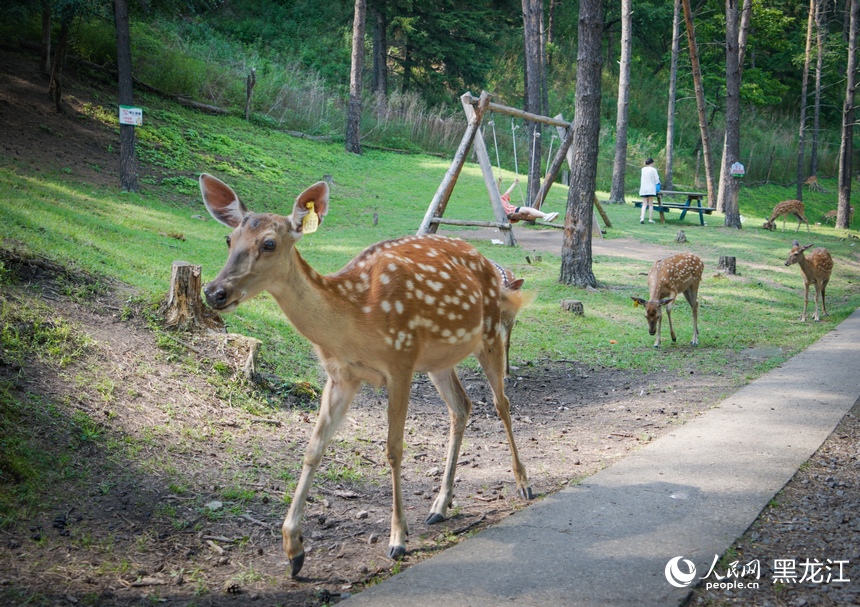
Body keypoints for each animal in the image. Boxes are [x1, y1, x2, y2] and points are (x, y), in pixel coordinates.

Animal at [198, 174, 532, 577]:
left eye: (268, 243)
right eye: (229, 239)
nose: (214, 292)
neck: (355, 317)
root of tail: (489, 263)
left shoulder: (400, 360)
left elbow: (394, 449)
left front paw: (398, 539)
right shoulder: (341, 375)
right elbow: (313, 448)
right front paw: (293, 549)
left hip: (491, 334)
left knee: (502, 403)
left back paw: (523, 484)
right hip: (438, 360)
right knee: (462, 407)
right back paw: (440, 506)